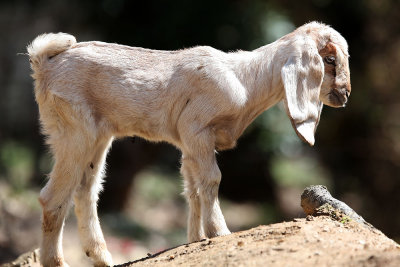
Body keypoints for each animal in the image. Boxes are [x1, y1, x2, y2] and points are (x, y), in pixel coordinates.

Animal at [27, 22, 350, 266]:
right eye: (329, 60)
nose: (345, 94)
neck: (244, 80)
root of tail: (44, 62)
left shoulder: (189, 144)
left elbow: (192, 188)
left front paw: (196, 238)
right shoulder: (197, 130)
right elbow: (212, 179)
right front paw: (220, 232)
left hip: (98, 136)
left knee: (86, 191)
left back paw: (103, 258)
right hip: (74, 130)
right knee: (52, 196)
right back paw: (57, 262)